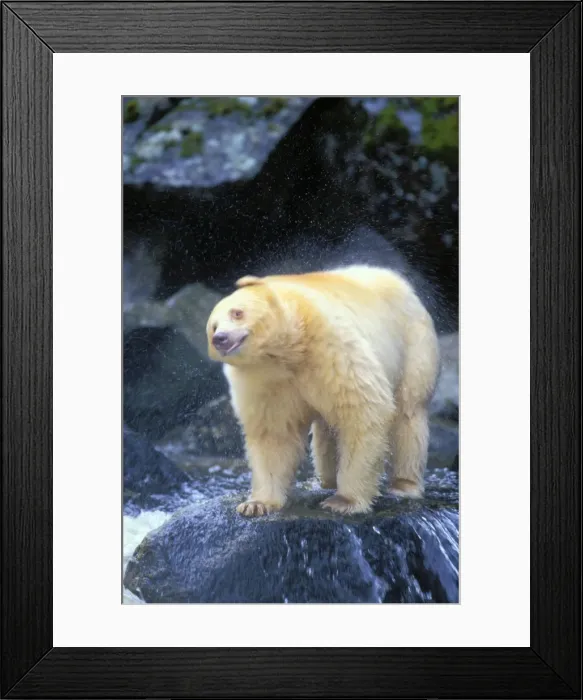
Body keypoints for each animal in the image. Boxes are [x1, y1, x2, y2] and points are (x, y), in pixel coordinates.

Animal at [206, 265, 440, 517]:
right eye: (213, 326)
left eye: (237, 313)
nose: (220, 338)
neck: (290, 349)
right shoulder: (262, 380)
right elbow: (274, 433)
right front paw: (256, 504)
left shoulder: (331, 348)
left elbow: (362, 413)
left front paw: (344, 501)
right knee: (326, 428)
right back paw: (327, 480)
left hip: (412, 344)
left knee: (409, 413)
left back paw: (404, 485)